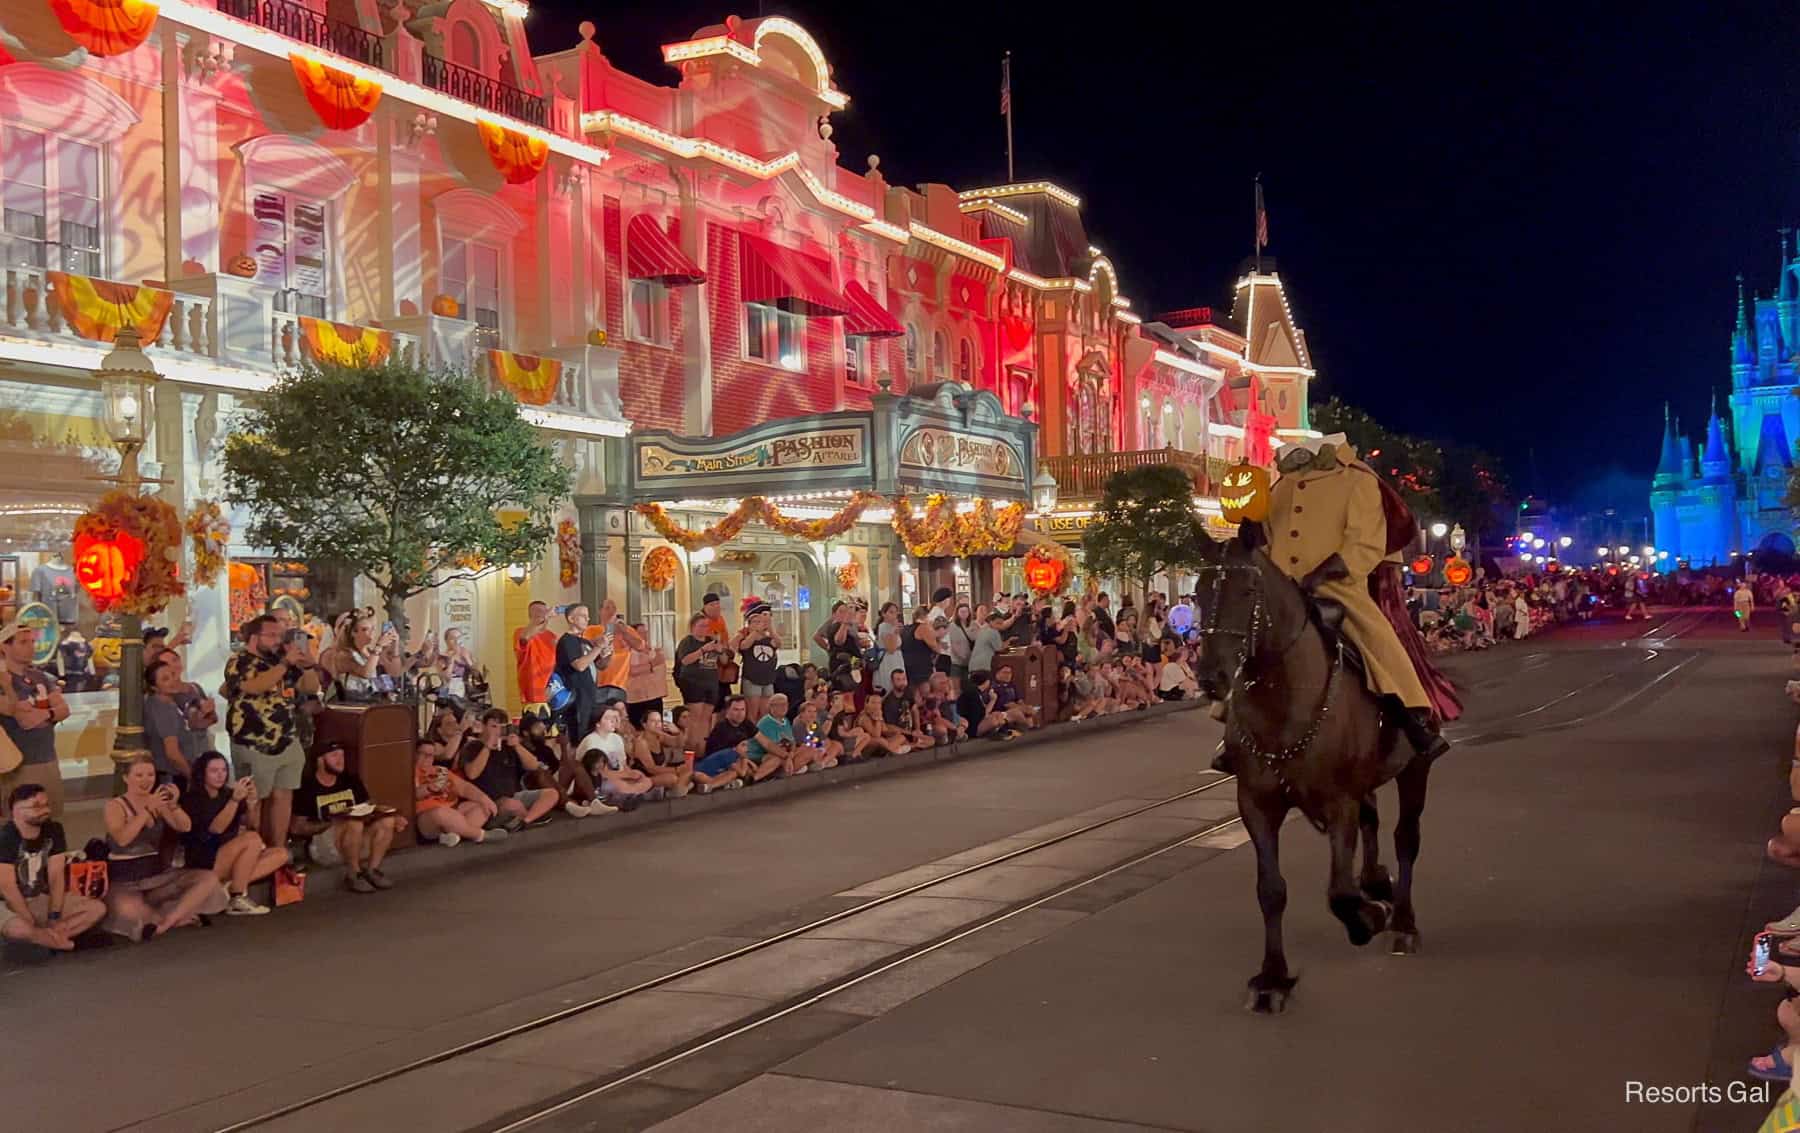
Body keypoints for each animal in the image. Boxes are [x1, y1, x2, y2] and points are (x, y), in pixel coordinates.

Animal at [1195, 525, 1432, 1008]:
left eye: (1248, 590)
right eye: (1197, 591)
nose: (1211, 676)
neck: (1284, 704)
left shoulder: (1338, 801)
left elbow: (1339, 892)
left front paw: (1368, 918)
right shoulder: (1256, 804)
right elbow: (1271, 890)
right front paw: (1272, 978)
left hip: (1414, 768)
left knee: (1406, 839)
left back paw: (1401, 921)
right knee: (1373, 823)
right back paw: (1376, 881)